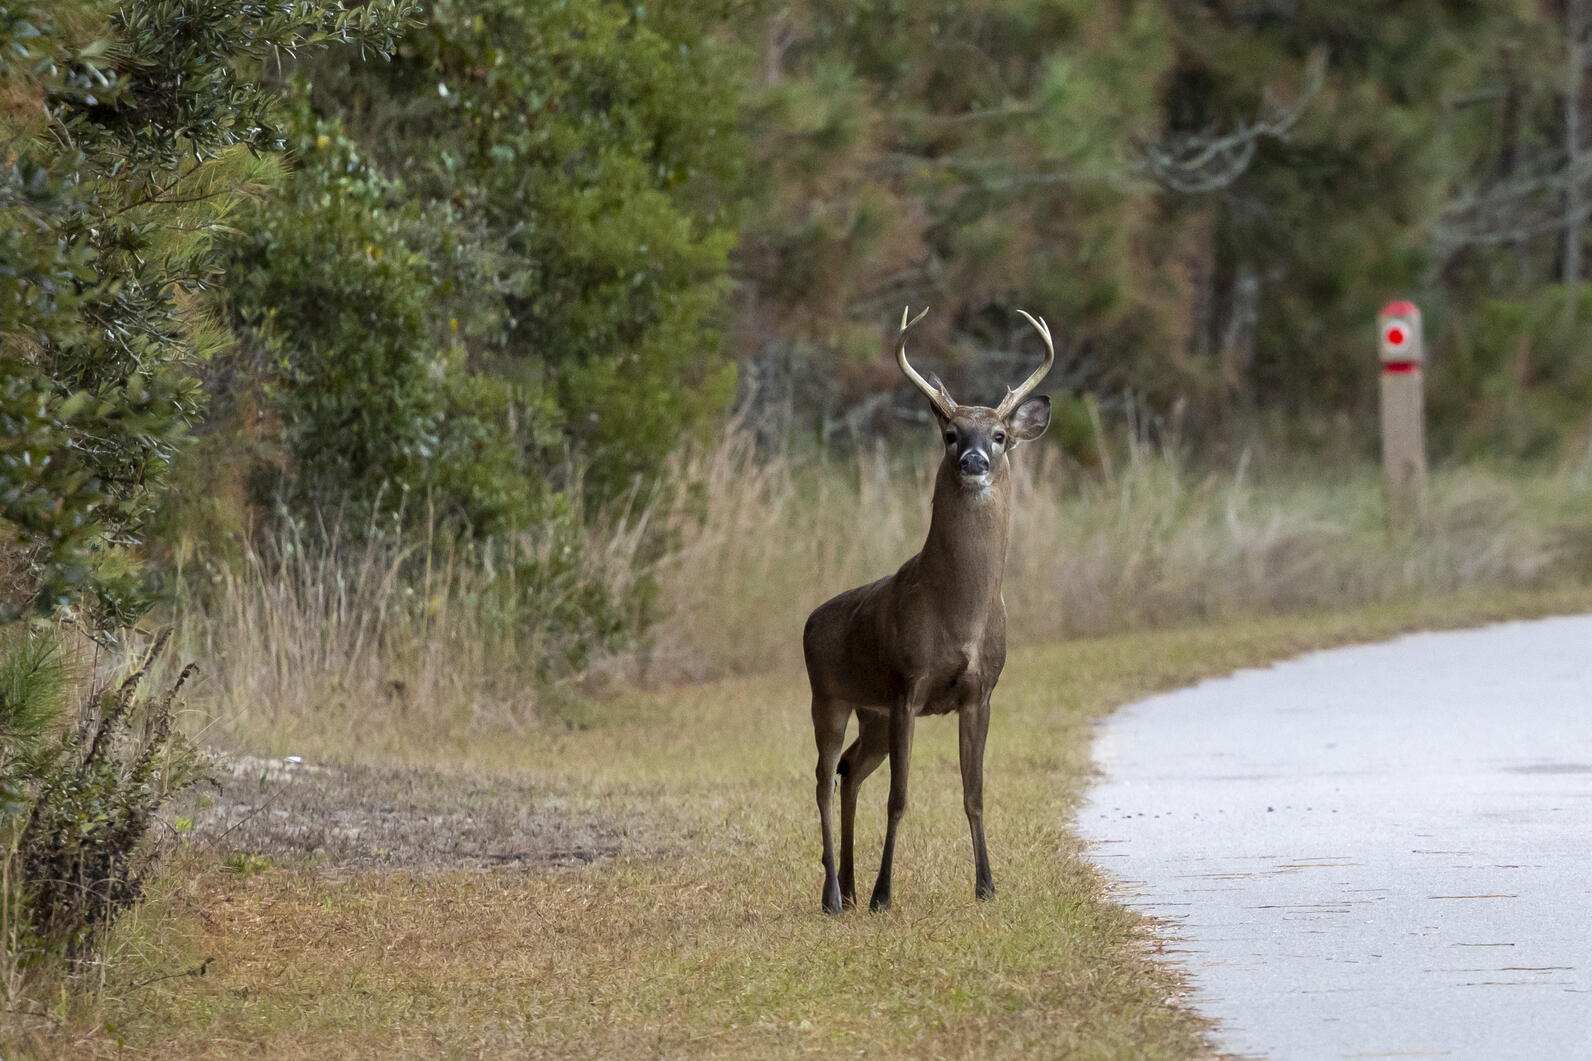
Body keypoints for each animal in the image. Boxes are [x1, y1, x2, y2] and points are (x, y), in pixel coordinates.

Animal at [802, 304, 1050, 911]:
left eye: (1000, 435)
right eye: (950, 433)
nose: (975, 459)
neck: (959, 614)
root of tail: (811, 619)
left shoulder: (979, 692)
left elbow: (974, 793)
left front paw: (986, 886)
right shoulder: (905, 685)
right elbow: (900, 798)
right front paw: (884, 895)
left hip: (870, 711)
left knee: (850, 769)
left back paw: (847, 883)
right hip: (829, 695)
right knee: (822, 777)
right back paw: (835, 894)